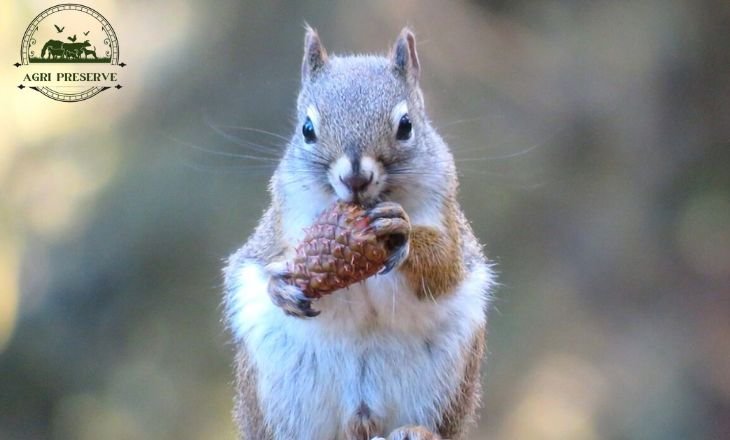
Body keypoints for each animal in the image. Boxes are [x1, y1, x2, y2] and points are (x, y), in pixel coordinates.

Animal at [223, 25, 494, 438]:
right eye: (307, 129)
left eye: (406, 126)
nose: (355, 177)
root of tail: (360, 421)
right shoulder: (280, 228)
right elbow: (260, 259)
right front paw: (280, 286)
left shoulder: (448, 220)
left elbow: (444, 268)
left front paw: (402, 233)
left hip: (446, 377)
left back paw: (417, 430)